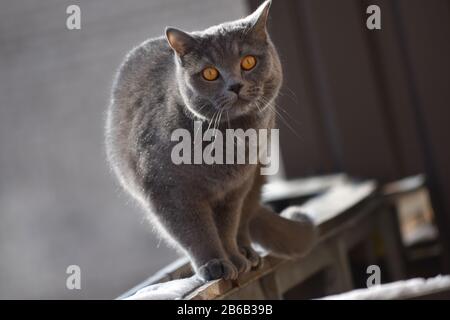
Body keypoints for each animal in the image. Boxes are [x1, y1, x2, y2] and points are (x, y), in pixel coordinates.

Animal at [105, 0, 316, 280]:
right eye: (209, 74)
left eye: (248, 61)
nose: (235, 85)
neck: (229, 144)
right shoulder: (170, 192)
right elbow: (196, 232)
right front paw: (214, 264)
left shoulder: (234, 190)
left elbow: (226, 229)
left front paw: (233, 259)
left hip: (256, 178)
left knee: (243, 222)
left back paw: (246, 253)